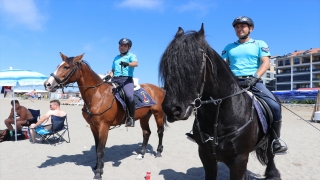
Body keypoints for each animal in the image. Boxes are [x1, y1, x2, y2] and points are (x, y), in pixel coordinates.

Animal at [158, 23, 280, 179]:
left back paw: (273, 173)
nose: (171, 109)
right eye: (167, 65)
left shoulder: (239, 159)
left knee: (271, 154)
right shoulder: (206, 155)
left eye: (193, 64)